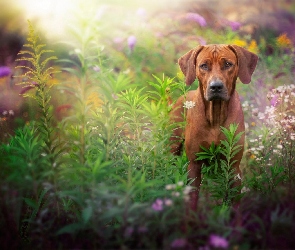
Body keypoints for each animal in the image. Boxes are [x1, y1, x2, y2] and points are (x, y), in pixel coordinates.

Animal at [171, 44, 260, 210]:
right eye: (204, 66)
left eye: (228, 64)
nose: (216, 87)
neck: (216, 116)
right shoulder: (194, 164)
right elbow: (192, 197)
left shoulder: (233, 166)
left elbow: (234, 200)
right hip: (172, 147)